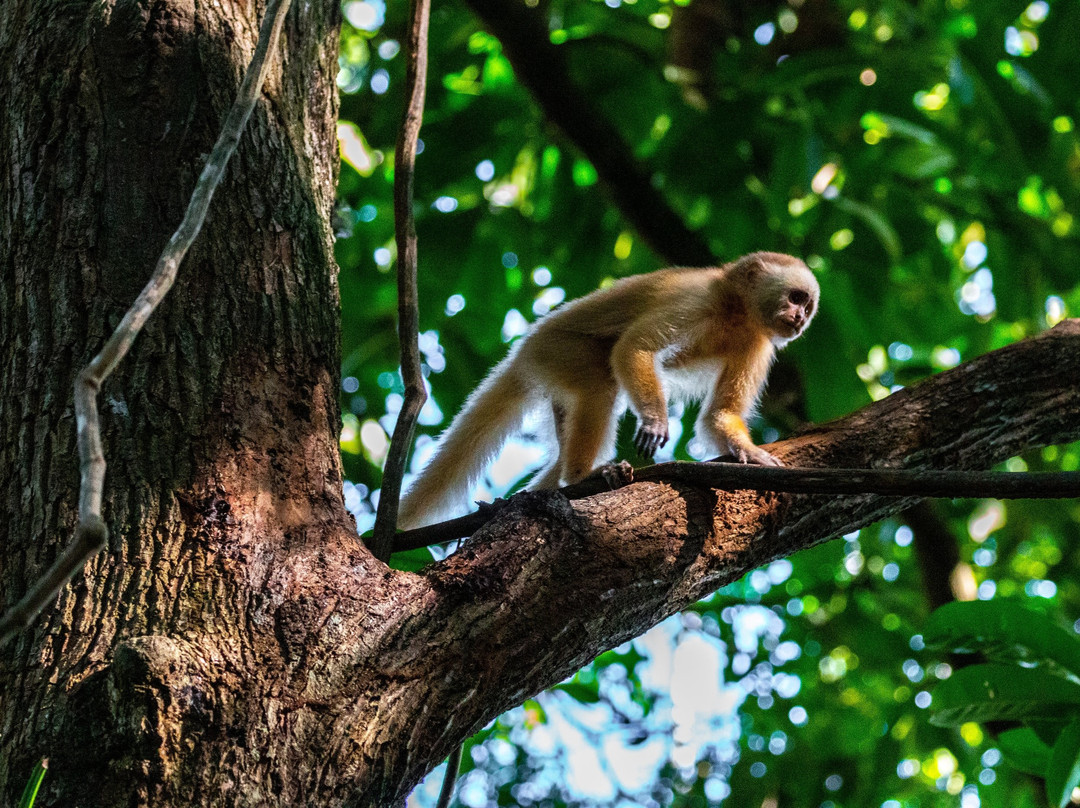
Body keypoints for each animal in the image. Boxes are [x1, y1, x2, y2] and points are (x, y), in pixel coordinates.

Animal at [397, 252, 816, 529]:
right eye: (796, 298)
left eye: (807, 307)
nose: (799, 319)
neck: (734, 309)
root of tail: (523, 353)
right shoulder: (696, 298)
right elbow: (634, 349)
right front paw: (655, 421)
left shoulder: (758, 340)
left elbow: (720, 416)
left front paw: (749, 452)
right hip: (555, 351)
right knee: (601, 378)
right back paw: (580, 476)